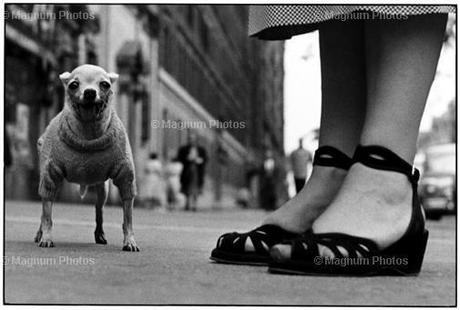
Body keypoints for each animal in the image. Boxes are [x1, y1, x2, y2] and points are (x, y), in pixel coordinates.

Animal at [36, 64, 138, 251]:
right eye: (74, 85)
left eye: (105, 84)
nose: (90, 92)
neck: (88, 133)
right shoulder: (49, 177)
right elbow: (47, 215)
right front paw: (46, 237)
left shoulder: (126, 178)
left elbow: (128, 218)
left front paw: (130, 241)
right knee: (44, 208)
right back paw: (39, 233)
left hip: (102, 188)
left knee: (99, 210)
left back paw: (100, 234)